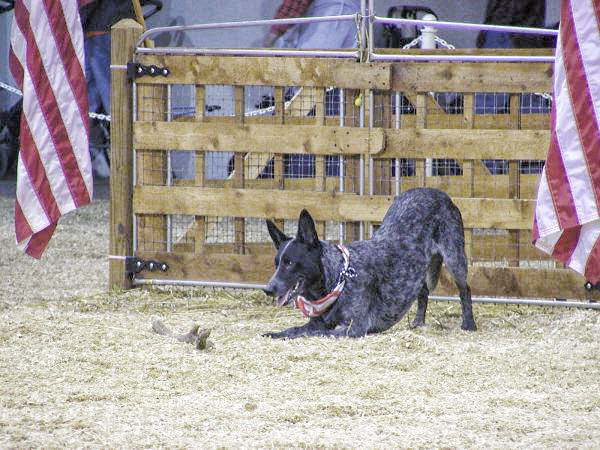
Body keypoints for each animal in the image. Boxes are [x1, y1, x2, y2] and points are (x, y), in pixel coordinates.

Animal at [262, 186, 478, 338]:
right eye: (276, 263)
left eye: (290, 263)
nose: (268, 289)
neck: (340, 276)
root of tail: (438, 192)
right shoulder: (318, 322)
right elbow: (295, 330)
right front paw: (274, 333)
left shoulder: (353, 328)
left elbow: (314, 333)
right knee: (423, 291)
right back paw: (418, 322)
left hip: (454, 258)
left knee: (465, 290)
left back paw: (469, 324)